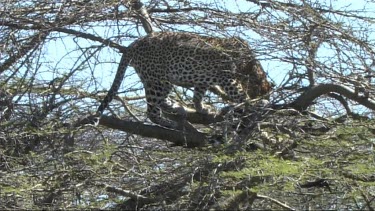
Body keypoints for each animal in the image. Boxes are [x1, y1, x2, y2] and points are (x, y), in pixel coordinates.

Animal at [97, 31, 274, 127]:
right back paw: (170, 123)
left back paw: (176, 107)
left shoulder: (203, 80)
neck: (251, 67)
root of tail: (133, 44)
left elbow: (197, 95)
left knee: (159, 102)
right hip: (158, 80)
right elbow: (240, 94)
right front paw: (254, 103)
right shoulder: (227, 79)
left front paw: (202, 108)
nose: (266, 98)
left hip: (156, 80)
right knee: (152, 111)